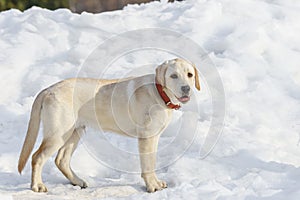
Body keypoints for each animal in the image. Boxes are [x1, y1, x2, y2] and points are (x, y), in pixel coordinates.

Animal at [17, 57, 200, 192]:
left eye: (190, 75)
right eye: (173, 76)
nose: (186, 88)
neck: (160, 93)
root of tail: (48, 89)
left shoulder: (153, 137)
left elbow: (152, 162)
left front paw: (156, 183)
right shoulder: (147, 137)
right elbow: (148, 164)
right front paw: (152, 186)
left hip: (75, 131)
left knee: (61, 159)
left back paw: (78, 181)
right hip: (58, 133)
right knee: (37, 157)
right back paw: (37, 186)